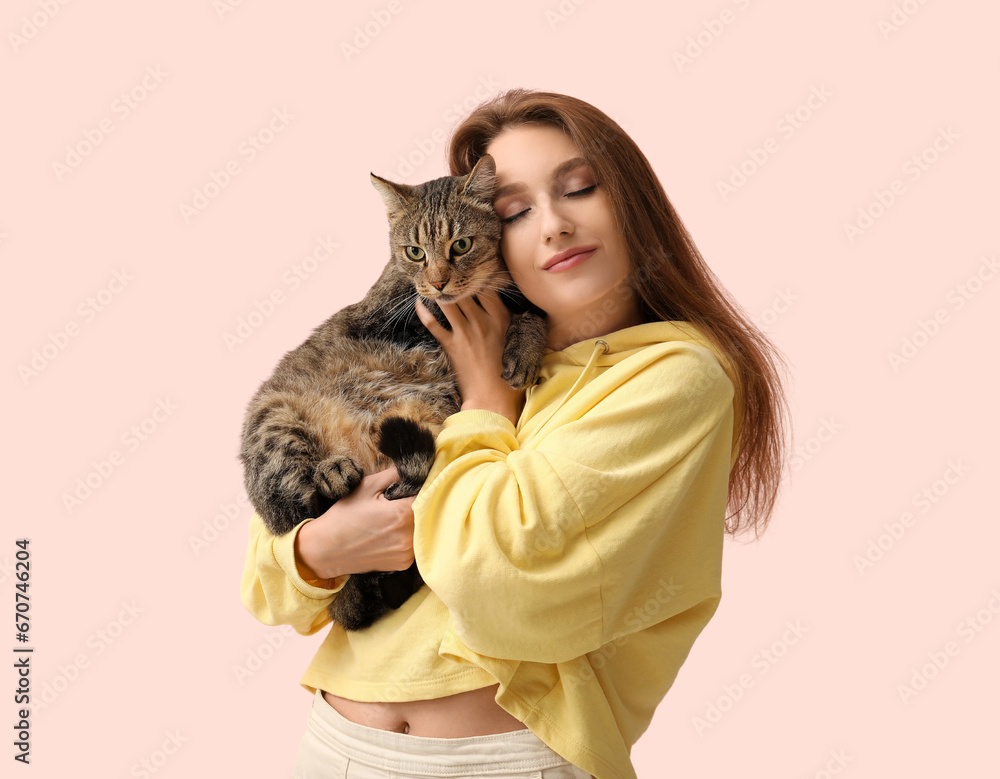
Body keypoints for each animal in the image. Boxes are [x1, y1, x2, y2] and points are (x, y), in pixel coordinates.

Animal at [241, 155, 548, 632]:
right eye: (414, 252)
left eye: (461, 245)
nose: (439, 281)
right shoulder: (398, 311)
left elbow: (531, 307)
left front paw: (524, 345)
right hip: (273, 421)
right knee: (302, 506)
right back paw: (332, 474)